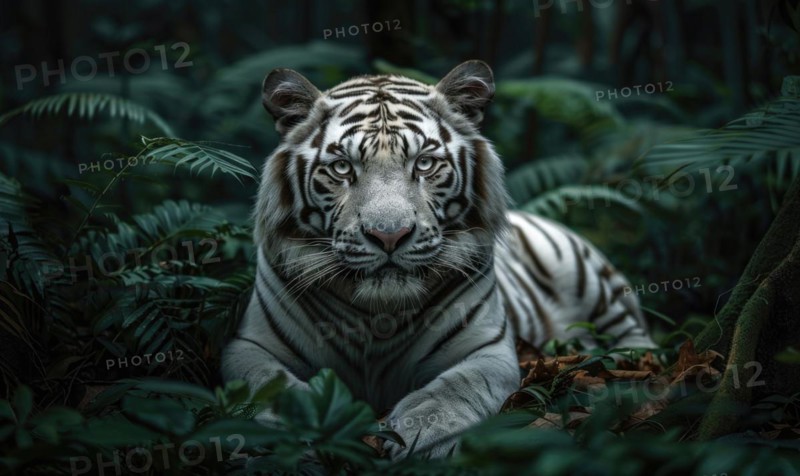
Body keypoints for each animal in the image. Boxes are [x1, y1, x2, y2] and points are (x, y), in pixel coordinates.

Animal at [221, 60, 655, 459]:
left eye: (425, 164)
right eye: (342, 168)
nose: (389, 234)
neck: (378, 316)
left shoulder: (487, 349)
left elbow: (457, 386)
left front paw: (422, 433)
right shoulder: (248, 346)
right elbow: (269, 383)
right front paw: (299, 425)